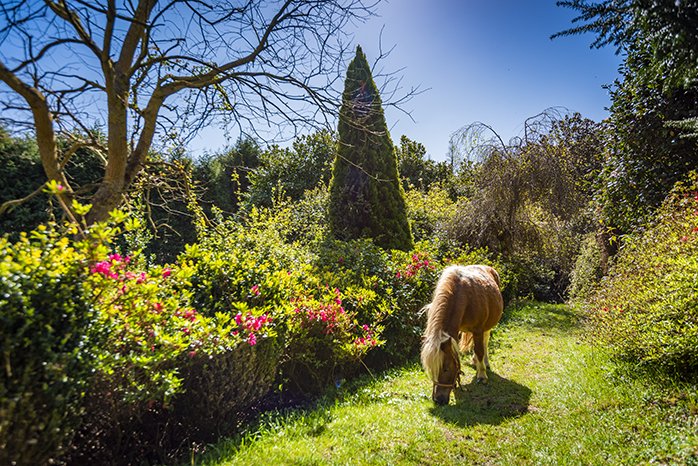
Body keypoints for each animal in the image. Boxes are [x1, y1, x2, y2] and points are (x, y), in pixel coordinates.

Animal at [418, 266, 500, 404]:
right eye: (431, 370)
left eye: (445, 369)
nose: (438, 400)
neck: (464, 297)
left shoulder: (478, 330)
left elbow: (479, 350)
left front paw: (482, 376)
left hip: (487, 327)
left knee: (485, 341)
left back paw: (485, 363)